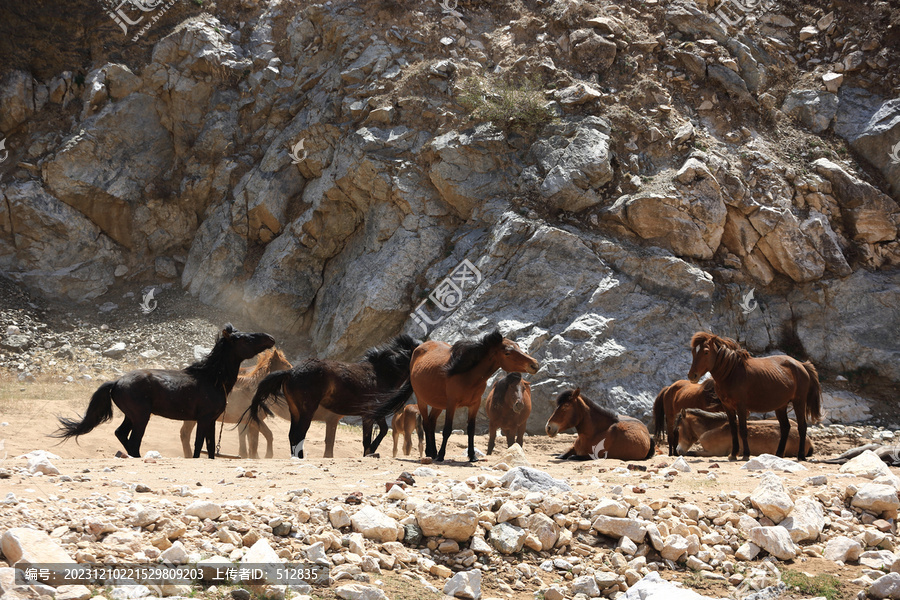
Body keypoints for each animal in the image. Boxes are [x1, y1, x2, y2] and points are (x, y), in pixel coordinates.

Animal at [55, 324, 274, 460]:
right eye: (245, 338)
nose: (270, 338)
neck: (212, 379)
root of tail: (116, 382)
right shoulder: (203, 419)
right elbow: (198, 445)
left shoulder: (211, 420)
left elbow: (210, 447)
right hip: (141, 417)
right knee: (133, 441)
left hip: (131, 416)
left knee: (121, 434)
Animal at [243, 336, 418, 458]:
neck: (380, 374)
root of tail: (290, 373)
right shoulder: (369, 414)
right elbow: (371, 437)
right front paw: (371, 452)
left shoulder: (373, 414)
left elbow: (380, 431)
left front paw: (371, 452)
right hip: (306, 412)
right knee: (299, 435)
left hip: (295, 412)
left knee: (292, 435)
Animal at [370, 330, 536, 462]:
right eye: (507, 352)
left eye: (518, 346)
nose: (534, 364)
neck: (467, 375)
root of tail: (417, 348)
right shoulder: (452, 404)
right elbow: (447, 429)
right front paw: (442, 455)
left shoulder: (474, 404)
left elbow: (471, 430)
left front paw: (472, 456)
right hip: (422, 400)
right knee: (427, 423)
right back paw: (432, 453)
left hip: (438, 404)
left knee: (431, 422)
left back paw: (433, 452)